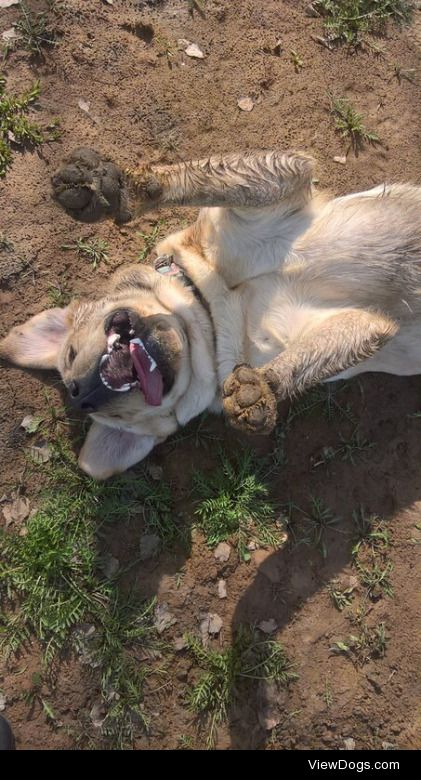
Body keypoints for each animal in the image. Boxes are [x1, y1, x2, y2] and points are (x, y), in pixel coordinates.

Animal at [0, 145, 420, 476]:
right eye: (118, 418)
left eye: (71, 354)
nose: (84, 394)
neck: (210, 309)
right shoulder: (360, 324)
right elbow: (311, 356)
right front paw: (262, 387)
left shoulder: (281, 182)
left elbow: (189, 182)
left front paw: (117, 190)